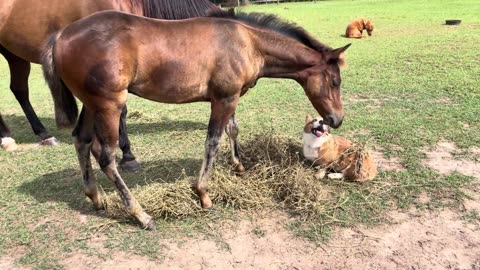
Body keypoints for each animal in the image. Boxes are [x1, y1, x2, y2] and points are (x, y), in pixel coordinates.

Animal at [0, 0, 219, 169]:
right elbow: (121, 112)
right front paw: (128, 157)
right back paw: (6, 139)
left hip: (14, 56)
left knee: (19, 90)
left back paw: (41, 134)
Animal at [42, 9, 348, 229]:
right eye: (335, 81)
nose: (336, 119)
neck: (248, 43)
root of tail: (61, 36)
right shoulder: (224, 99)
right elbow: (212, 141)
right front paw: (203, 194)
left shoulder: (230, 96)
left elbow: (233, 129)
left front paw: (238, 166)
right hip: (109, 104)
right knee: (106, 156)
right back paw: (141, 215)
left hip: (91, 103)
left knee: (82, 141)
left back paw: (95, 197)